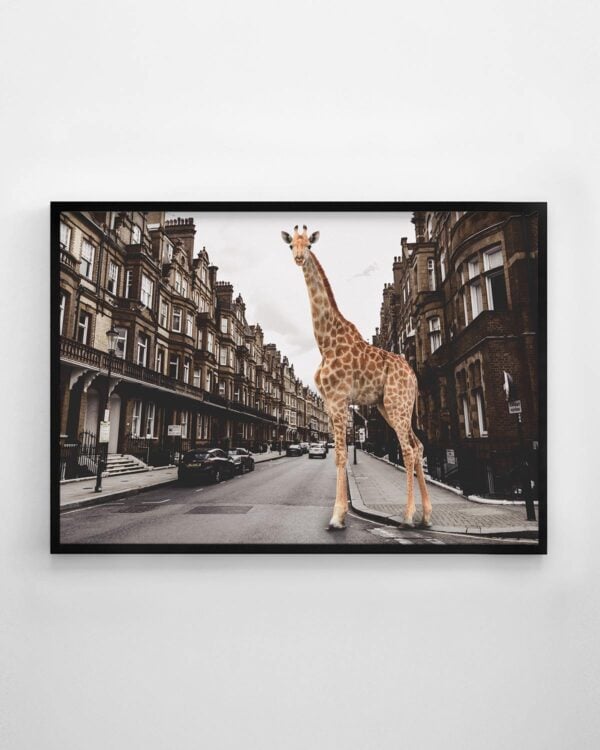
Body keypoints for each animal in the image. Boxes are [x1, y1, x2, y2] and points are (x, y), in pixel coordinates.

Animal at [281, 225, 432, 531]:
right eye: (291, 245)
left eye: (309, 245)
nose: (299, 258)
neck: (325, 342)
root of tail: (412, 374)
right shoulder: (330, 403)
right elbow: (337, 452)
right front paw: (338, 514)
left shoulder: (339, 399)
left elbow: (340, 454)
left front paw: (337, 517)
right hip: (390, 406)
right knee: (418, 445)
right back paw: (426, 516)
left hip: (397, 404)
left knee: (408, 450)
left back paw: (408, 516)